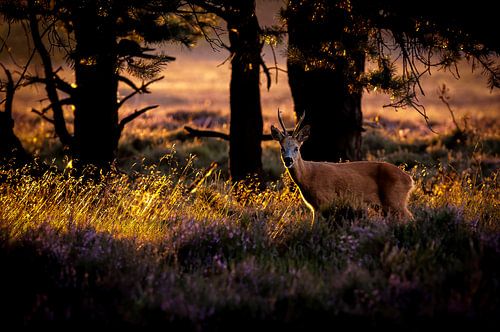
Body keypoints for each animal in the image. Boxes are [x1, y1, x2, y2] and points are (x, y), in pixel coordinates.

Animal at [272, 110, 416, 224]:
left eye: (296, 148)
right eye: (282, 148)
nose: (288, 160)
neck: (308, 176)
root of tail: (410, 180)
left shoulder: (326, 201)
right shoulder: (315, 207)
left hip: (395, 199)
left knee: (409, 217)